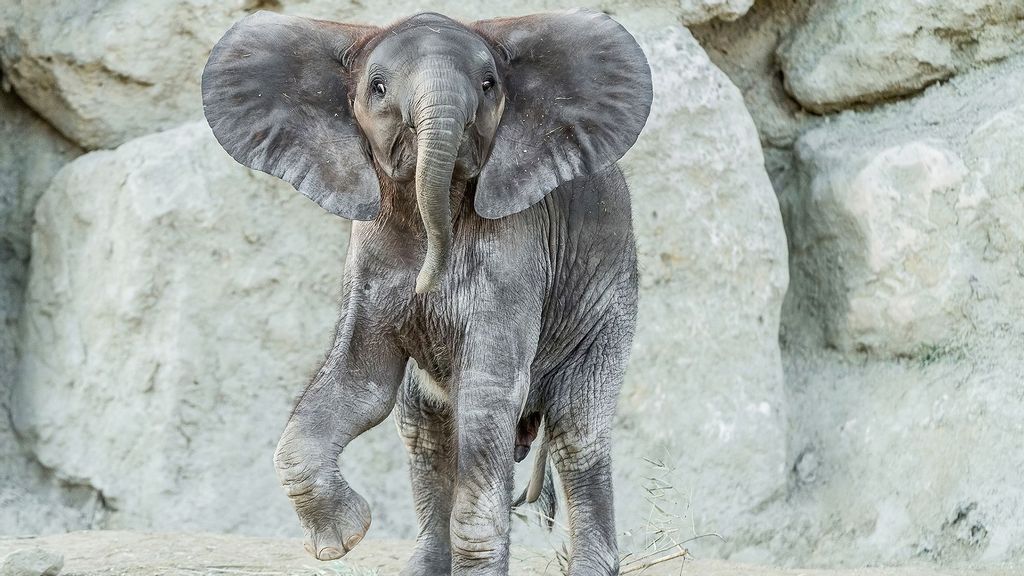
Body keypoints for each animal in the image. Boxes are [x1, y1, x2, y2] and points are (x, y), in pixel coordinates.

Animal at [201, 6, 647, 569]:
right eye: (377, 87)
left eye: (488, 84)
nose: (425, 283)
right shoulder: (369, 251)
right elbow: (361, 382)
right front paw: (344, 538)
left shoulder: (517, 247)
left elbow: (487, 390)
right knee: (423, 428)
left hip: (609, 301)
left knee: (577, 429)